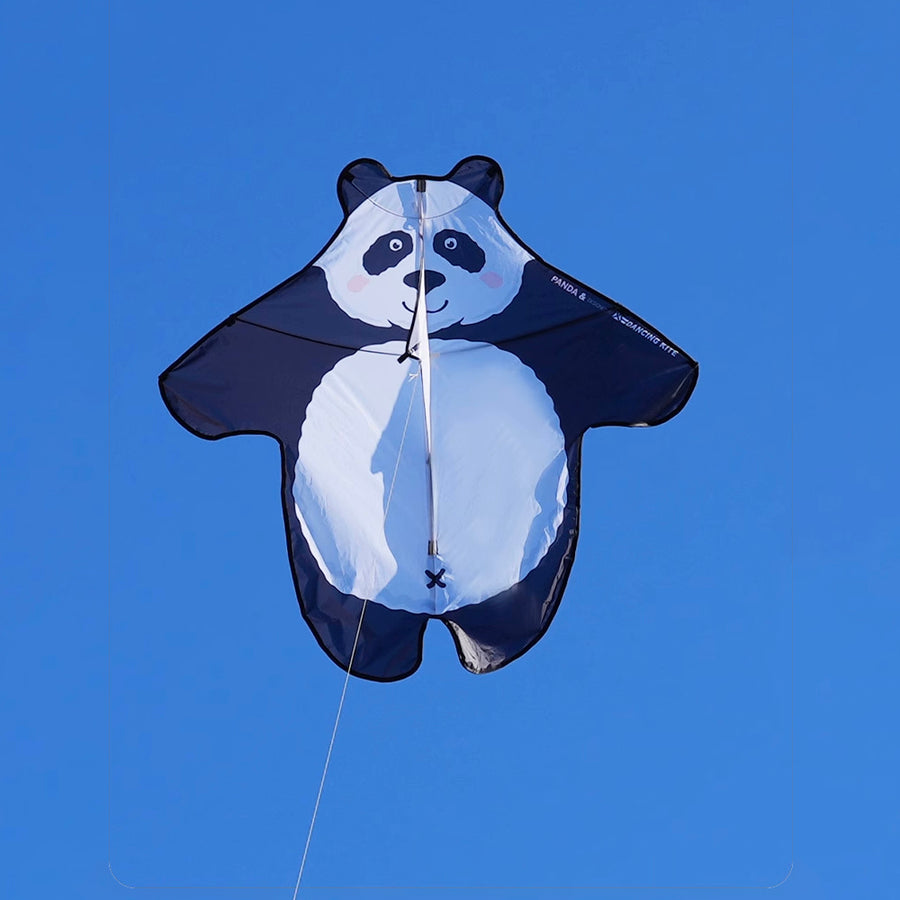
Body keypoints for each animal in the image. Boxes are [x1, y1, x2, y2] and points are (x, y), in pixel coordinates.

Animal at [160, 157, 698, 681]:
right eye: (393, 245)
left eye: (454, 244)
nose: (424, 280)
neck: (428, 339)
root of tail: (437, 613)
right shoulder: (284, 330)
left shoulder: (567, 321)